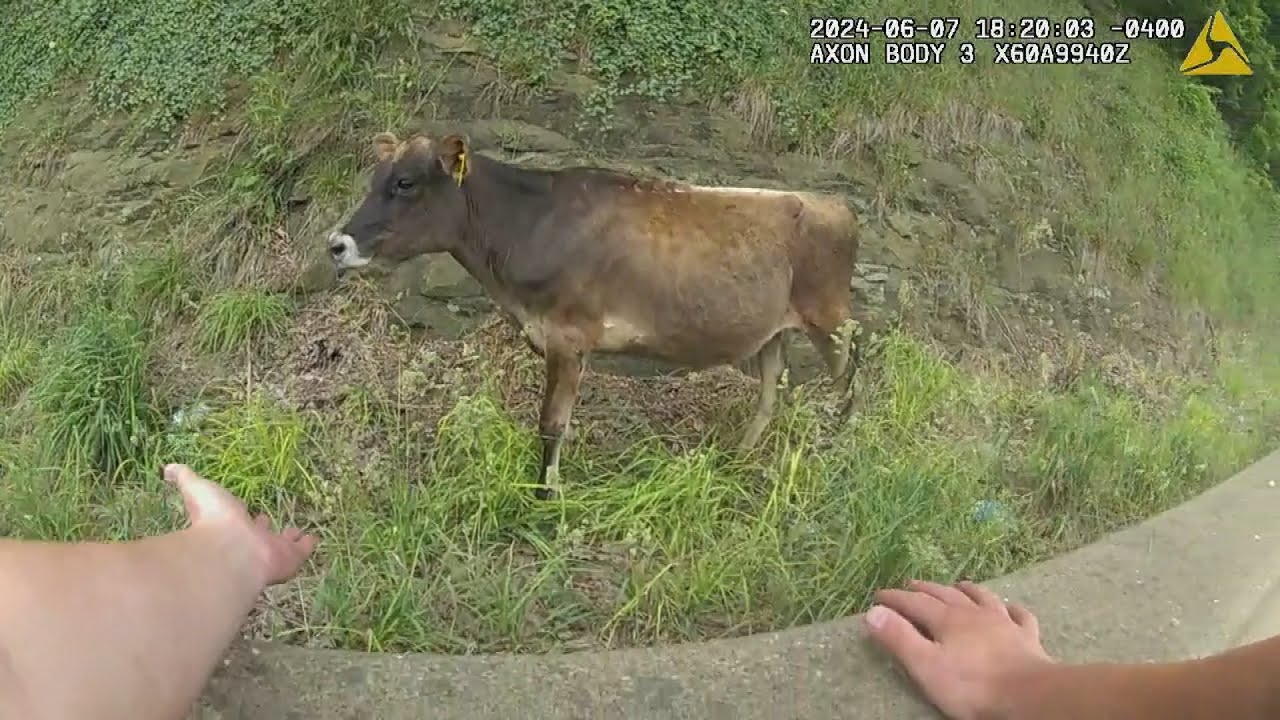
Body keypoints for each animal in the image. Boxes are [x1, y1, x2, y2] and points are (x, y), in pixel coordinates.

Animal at [328, 132, 861, 499]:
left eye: (405, 182)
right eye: (374, 179)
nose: (337, 243)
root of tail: (831, 201)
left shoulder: (567, 334)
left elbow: (551, 423)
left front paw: (545, 495)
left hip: (830, 317)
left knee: (848, 380)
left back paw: (839, 448)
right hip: (773, 329)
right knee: (771, 390)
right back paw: (740, 457)